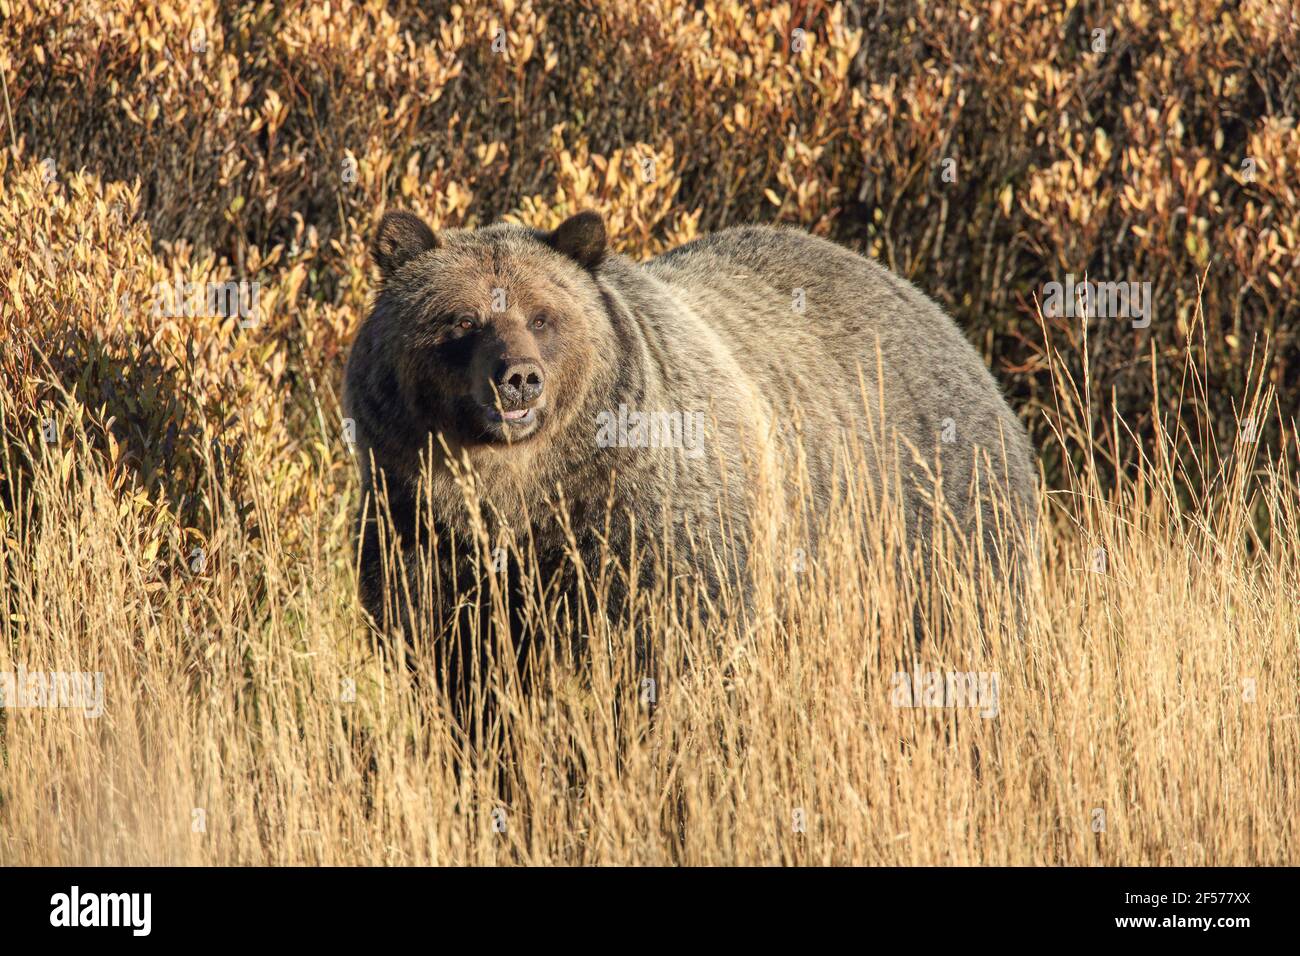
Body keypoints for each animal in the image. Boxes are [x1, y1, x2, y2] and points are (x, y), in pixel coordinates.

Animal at [343, 210, 1037, 699]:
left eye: (543, 317)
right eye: (462, 321)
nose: (519, 378)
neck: (526, 494)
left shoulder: (653, 531)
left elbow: (667, 656)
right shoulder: (419, 529)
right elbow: (458, 670)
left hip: (935, 527)